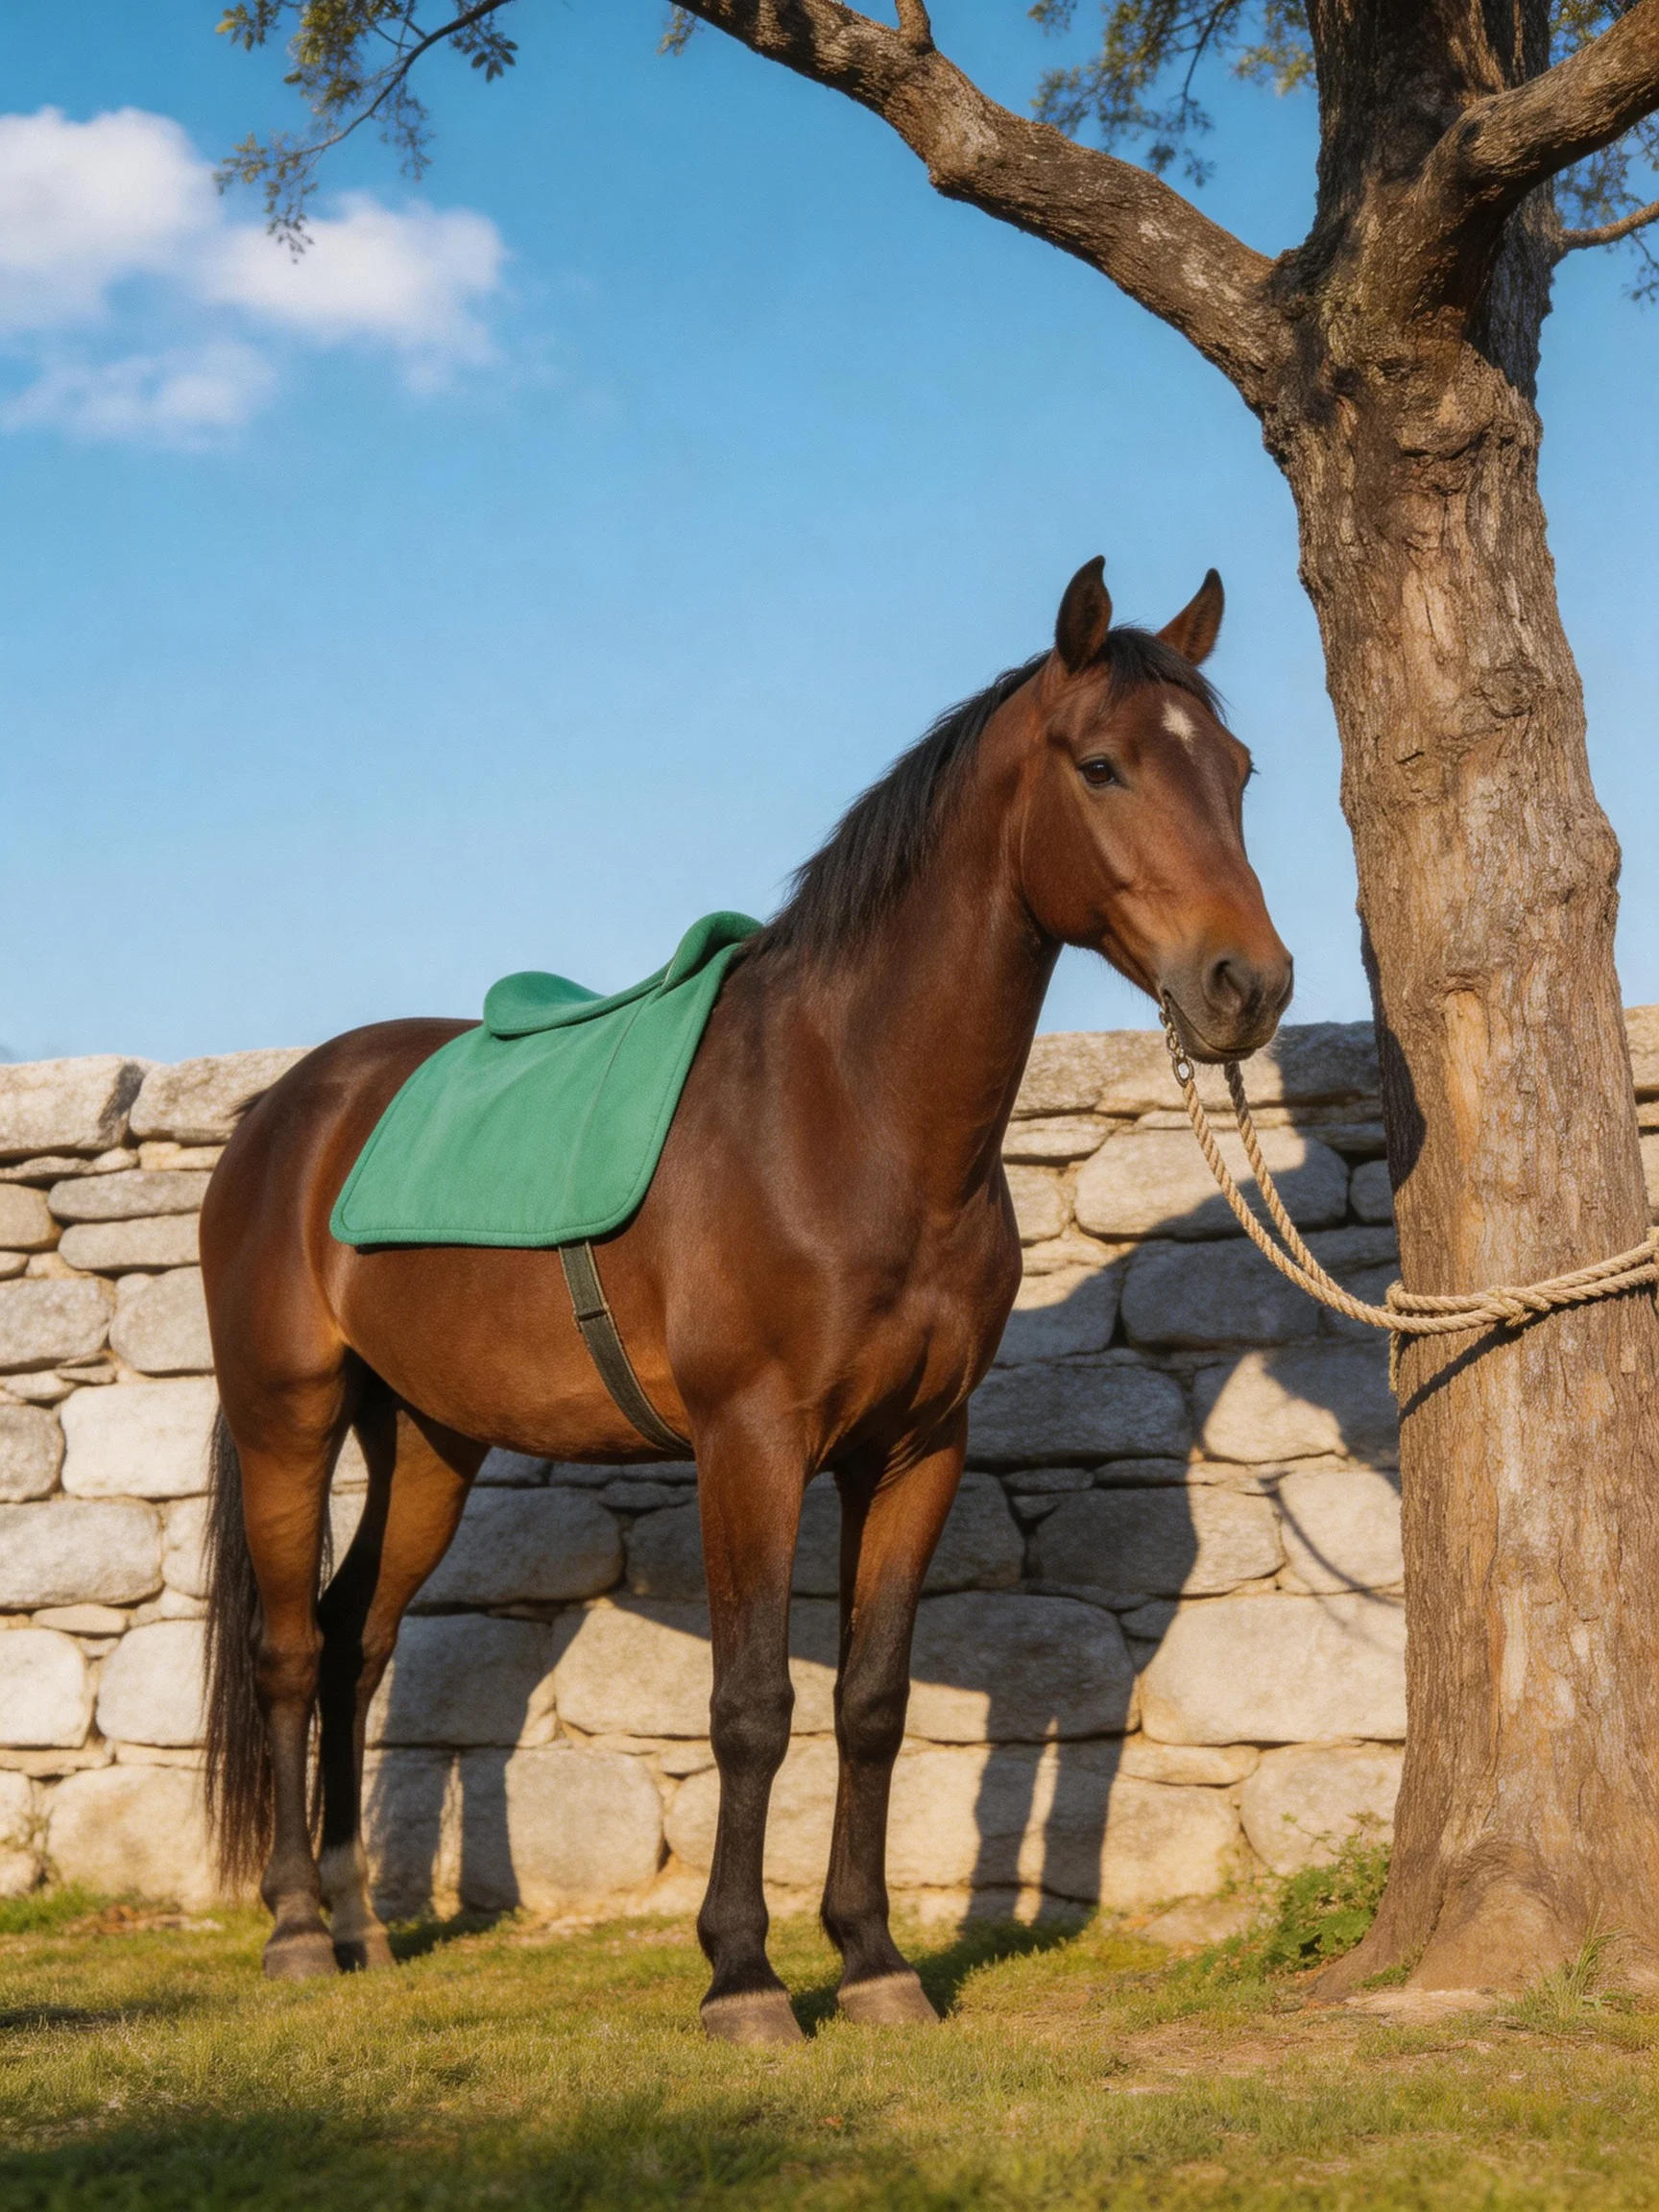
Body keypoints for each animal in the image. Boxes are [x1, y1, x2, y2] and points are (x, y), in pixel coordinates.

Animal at [199, 555, 1292, 2044]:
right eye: (1103, 765)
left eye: (1238, 770)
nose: (1250, 986)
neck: (846, 1113)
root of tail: (284, 1112)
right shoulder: (752, 1446)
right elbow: (753, 1706)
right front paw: (745, 1979)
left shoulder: (914, 1452)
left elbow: (874, 1704)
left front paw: (876, 1962)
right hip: (287, 1422)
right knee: (291, 1652)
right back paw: (302, 1931)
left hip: (426, 1440)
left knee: (358, 1641)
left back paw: (365, 1926)